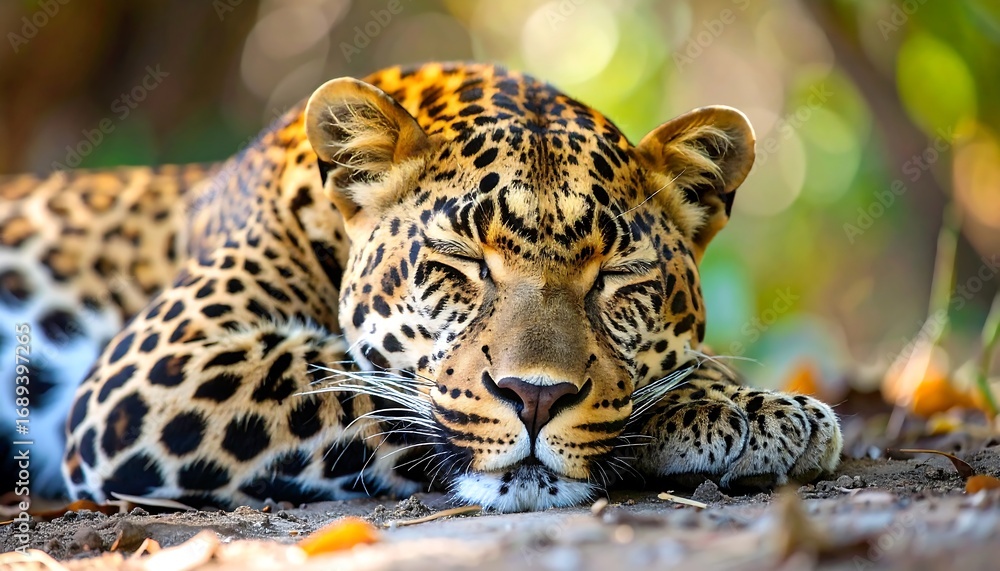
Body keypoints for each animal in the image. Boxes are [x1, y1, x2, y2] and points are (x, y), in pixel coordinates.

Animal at [0, 62, 842, 513]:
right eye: (463, 263)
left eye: (613, 279)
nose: (537, 397)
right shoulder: (160, 369)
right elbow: (372, 389)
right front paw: (728, 408)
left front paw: (748, 400)